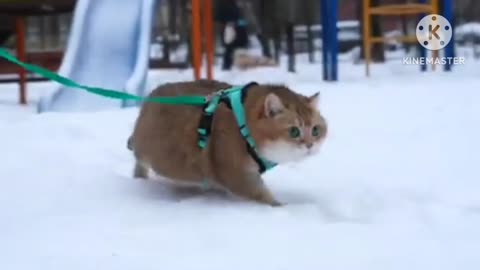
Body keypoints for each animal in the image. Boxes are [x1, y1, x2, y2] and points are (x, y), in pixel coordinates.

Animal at [127, 79, 328, 206]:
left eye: (316, 130)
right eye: (294, 131)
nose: (310, 145)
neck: (245, 126)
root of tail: (148, 98)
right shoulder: (235, 172)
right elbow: (261, 194)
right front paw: (281, 206)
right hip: (144, 150)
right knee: (139, 161)